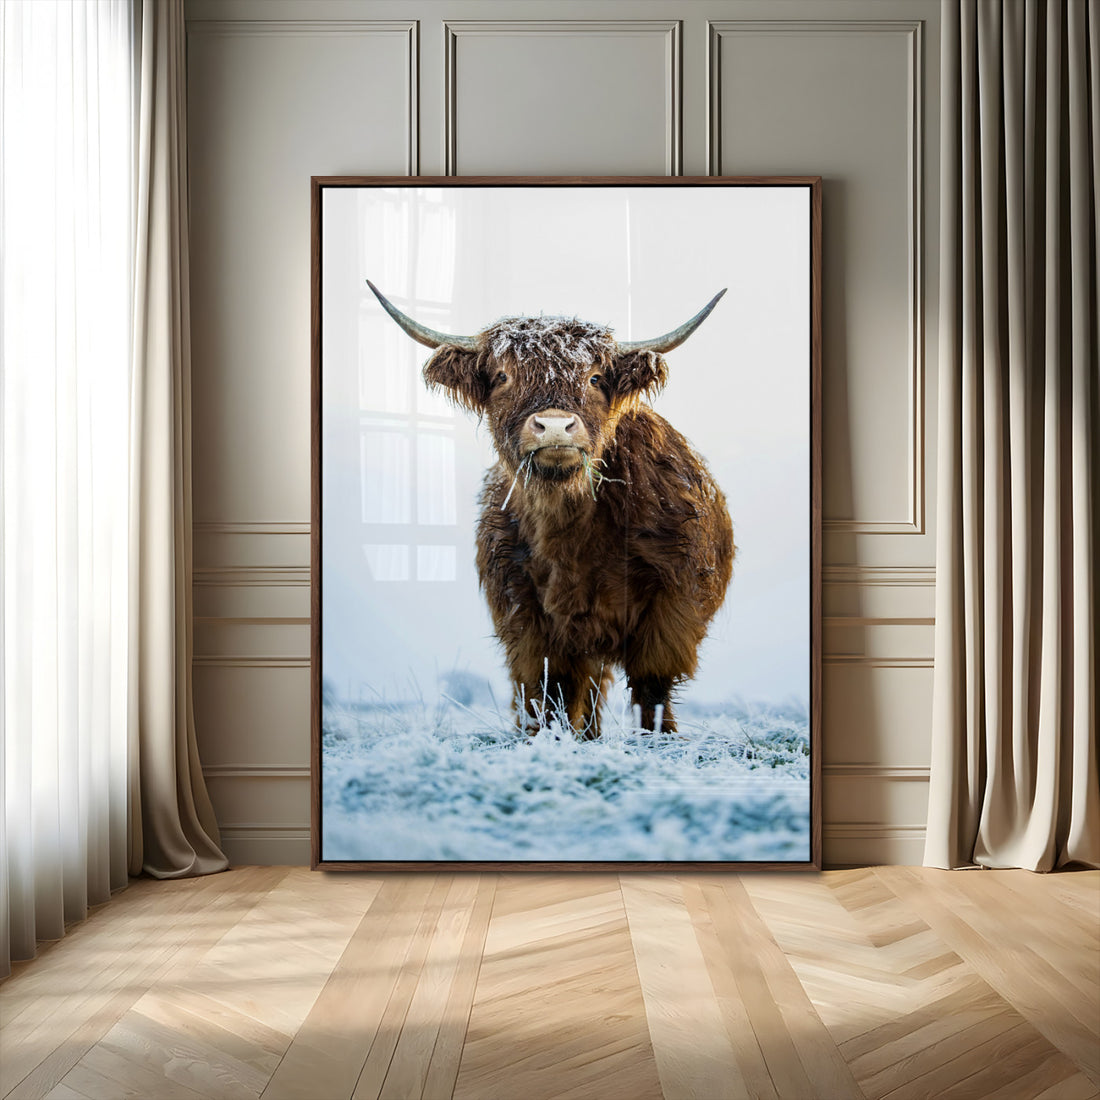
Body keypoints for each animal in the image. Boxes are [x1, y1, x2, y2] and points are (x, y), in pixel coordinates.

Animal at [368, 281, 735, 737]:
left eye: (595, 377)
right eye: (503, 375)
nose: (556, 426)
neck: (570, 532)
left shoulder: (674, 602)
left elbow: (651, 686)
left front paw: (655, 741)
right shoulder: (524, 612)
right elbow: (551, 688)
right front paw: (549, 740)